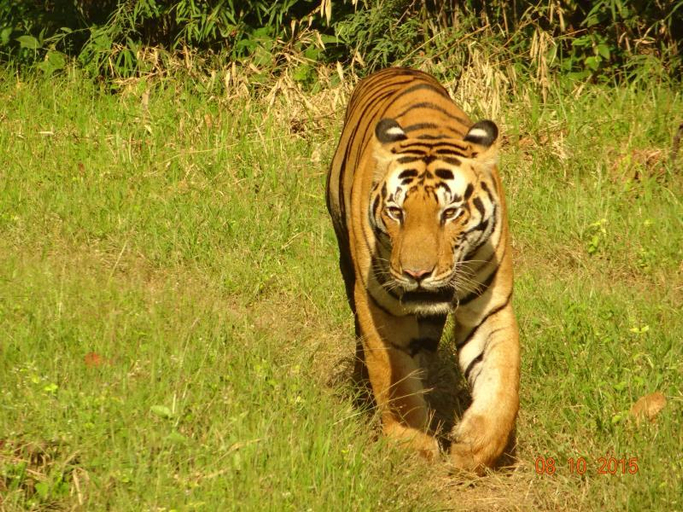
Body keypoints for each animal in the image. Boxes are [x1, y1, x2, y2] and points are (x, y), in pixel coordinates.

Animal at [326, 67, 520, 471]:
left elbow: (502, 378)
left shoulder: (491, 306)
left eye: (450, 212)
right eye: (396, 211)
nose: (417, 275)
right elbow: (395, 378)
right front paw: (411, 444)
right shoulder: (380, 308)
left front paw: (475, 445)